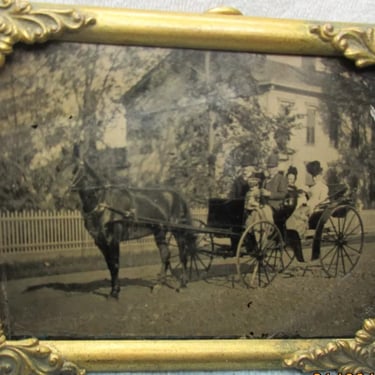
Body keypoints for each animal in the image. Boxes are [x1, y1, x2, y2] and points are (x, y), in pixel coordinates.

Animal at [70, 157, 195, 298]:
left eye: (77, 170)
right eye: (72, 170)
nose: (70, 189)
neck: (104, 203)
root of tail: (178, 196)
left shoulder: (113, 239)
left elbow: (115, 264)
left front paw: (115, 292)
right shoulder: (100, 241)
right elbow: (109, 265)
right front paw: (113, 290)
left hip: (178, 231)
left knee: (183, 254)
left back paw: (183, 284)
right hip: (160, 231)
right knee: (165, 254)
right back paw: (158, 285)